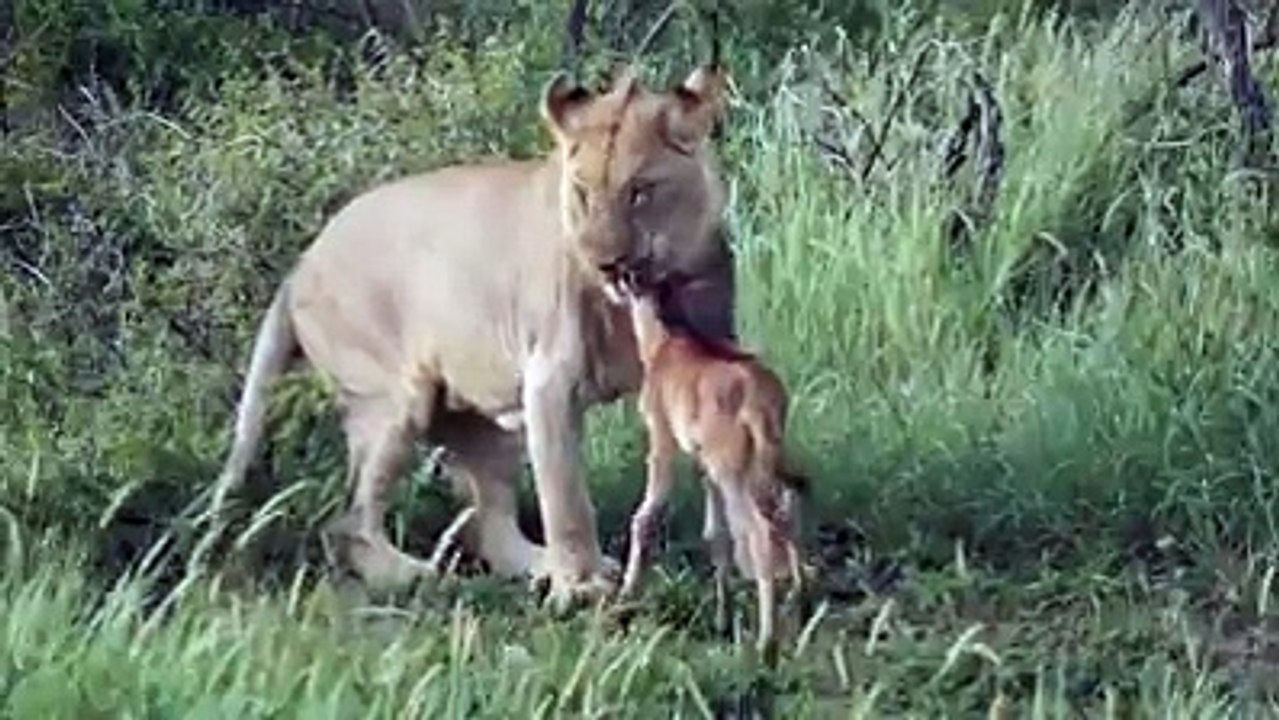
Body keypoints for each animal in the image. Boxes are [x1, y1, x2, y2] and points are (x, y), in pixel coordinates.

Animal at [208, 64, 738, 606]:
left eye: (640, 191)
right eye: (583, 191)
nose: (604, 263)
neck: (659, 287)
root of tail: (300, 264)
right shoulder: (550, 381)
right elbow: (566, 496)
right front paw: (581, 585)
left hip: (486, 414)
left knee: (491, 527)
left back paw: (536, 566)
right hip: (395, 398)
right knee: (349, 524)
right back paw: (423, 576)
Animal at [608, 265, 810, 663]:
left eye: (630, 276)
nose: (610, 277)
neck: (662, 344)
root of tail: (759, 398)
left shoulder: (663, 439)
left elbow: (646, 515)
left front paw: (626, 599)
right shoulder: (704, 465)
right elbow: (715, 534)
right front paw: (722, 618)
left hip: (732, 470)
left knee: (761, 531)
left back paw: (766, 642)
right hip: (764, 459)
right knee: (789, 504)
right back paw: (799, 599)